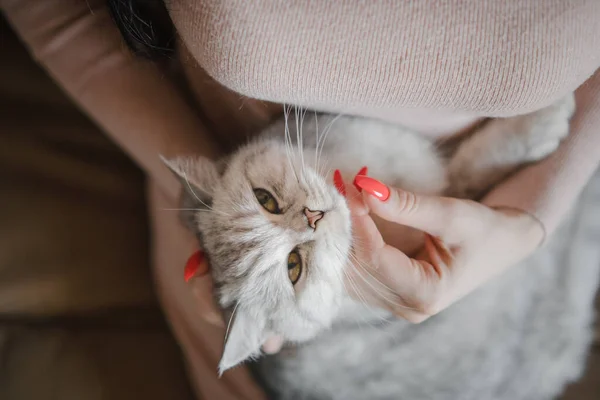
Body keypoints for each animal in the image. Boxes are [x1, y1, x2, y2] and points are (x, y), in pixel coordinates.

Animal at [165, 92, 600, 398]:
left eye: (264, 199)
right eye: (293, 266)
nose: (312, 218)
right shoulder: (451, 188)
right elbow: (468, 170)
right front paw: (545, 123)